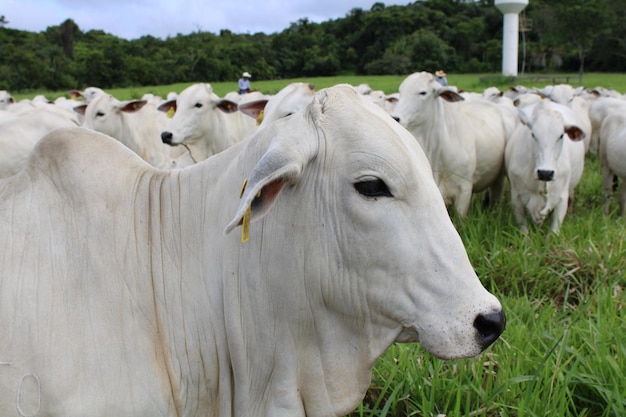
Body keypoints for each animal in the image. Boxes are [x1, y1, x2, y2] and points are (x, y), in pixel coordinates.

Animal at [502, 98, 584, 232]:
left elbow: (553, 231)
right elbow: (524, 230)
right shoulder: (516, 197)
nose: (545, 173)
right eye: (533, 134)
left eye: (561, 135)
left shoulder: (561, 198)